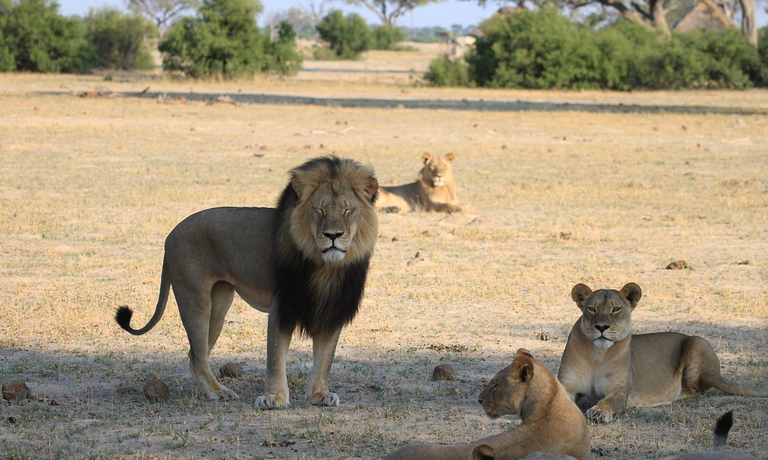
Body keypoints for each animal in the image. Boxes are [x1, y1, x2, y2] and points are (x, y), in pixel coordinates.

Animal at [115, 156, 379, 409]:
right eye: (319, 210)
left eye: (348, 210)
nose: (332, 235)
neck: (325, 266)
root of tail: (170, 235)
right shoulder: (281, 305)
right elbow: (275, 357)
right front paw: (274, 398)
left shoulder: (333, 306)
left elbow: (324, 358)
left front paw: (319, 395)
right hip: (195, 299)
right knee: (197, 357)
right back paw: (218, 392)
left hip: (219, 306)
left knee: (196, 354)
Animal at [557, 283, 768, 424]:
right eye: (592, 309)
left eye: (616, 309)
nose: (601, 327)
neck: (597, 356)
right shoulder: (567, 386)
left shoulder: (620, 391)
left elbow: (610, 401)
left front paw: (599, 412)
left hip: (697, 341)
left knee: (698, 390)